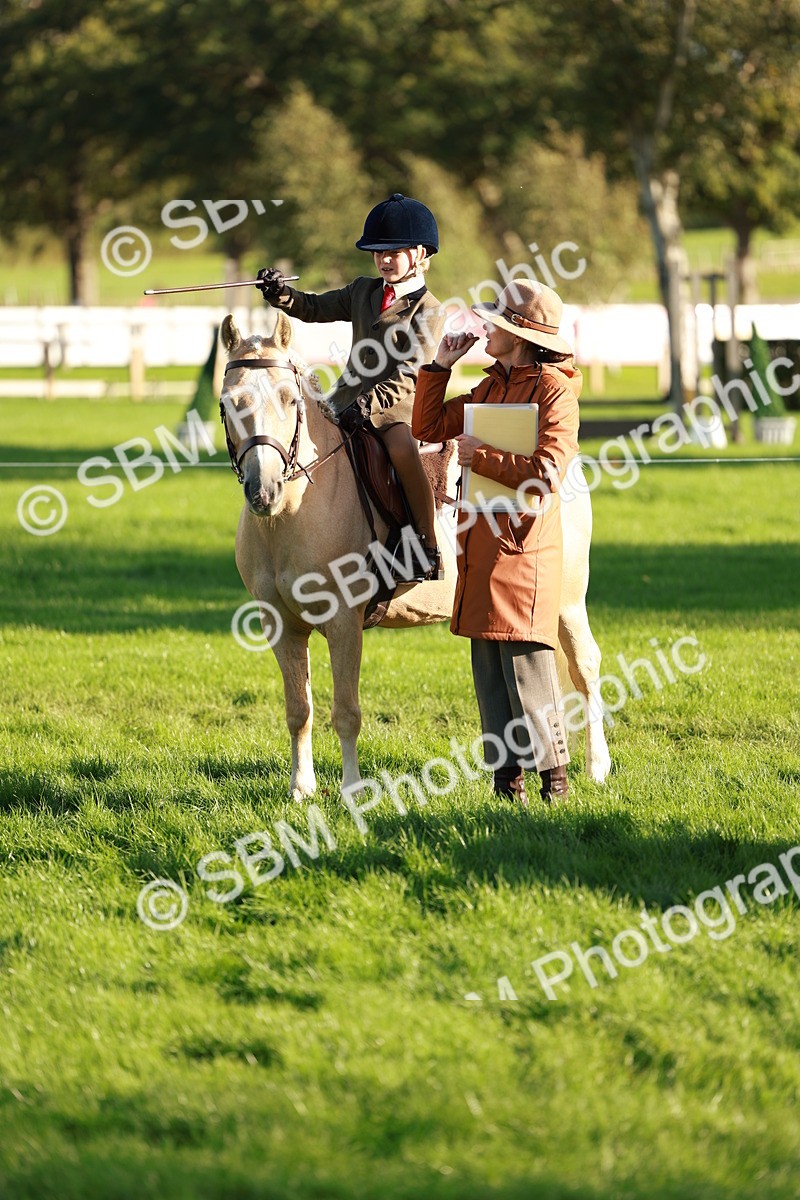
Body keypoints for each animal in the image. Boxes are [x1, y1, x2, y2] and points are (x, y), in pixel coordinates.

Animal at [220, 310, 611, 801]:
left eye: (290, 400)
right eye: (229, 402)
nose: (264, 490)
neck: (292, 512)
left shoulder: (344, 622)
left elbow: (345, 711)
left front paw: (352, 790)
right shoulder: (282, 626)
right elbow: (299, 710)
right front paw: (301, 789)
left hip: (566, 603)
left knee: (585, 668)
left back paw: (597, 766)